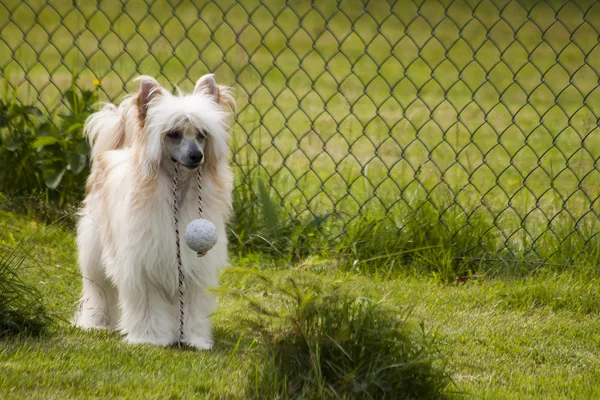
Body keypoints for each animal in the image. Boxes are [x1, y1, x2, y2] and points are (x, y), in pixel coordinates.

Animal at [74, 76, 236, 350]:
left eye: (202, 135)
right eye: (173, 134)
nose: (197, 156)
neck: (177, 196)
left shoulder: (192, 269)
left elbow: (193, 308)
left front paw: (194, 340)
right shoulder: (143, 266)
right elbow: (149, 306)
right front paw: (150, 338)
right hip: (95, 252)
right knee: (99, 290)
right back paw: (97, 322)